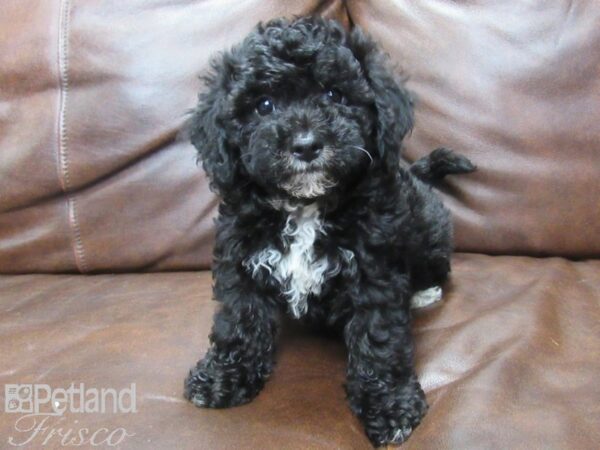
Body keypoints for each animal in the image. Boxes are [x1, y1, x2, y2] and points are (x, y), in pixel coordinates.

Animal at [185, 16, 476, 446]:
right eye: (263, 105)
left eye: (335, 94)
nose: (306, 145)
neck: (306, 207)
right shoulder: (240, 257)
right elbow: (240, 318)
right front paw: (224, 375)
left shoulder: (375, 269)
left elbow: (378, 338)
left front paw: (389, 406)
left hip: (431, 235)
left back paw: (423, 292)